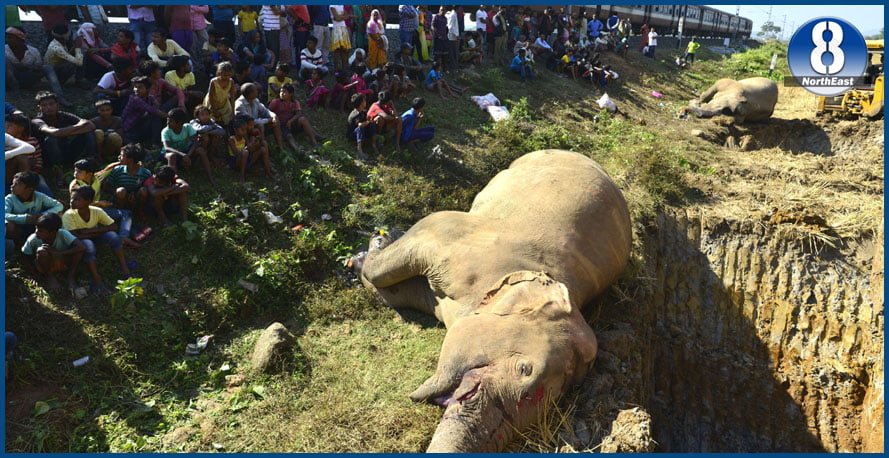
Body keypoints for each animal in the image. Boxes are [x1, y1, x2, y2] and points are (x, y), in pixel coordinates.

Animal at [355, 150, 632, 452]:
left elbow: (394, 293)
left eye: (556, 399)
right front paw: (373, 245)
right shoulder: (454, 238)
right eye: (524, 369)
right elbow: (385, 271)